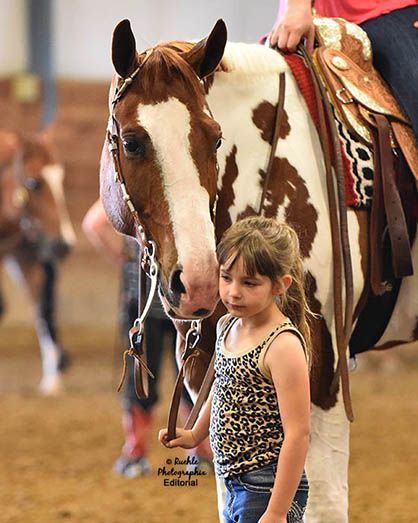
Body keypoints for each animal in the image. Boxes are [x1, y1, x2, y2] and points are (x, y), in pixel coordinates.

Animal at [0, 129, 75, 396]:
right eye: (34, 183)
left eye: (60, 180)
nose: (64, 244)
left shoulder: (24, 256)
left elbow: (41, 308)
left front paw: (53, 380)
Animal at [99, 20, 416, 523]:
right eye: (131, 142)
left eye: (215, 137)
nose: (199, 280)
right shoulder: (204, 367)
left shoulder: (322, 368)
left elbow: (322, 501)